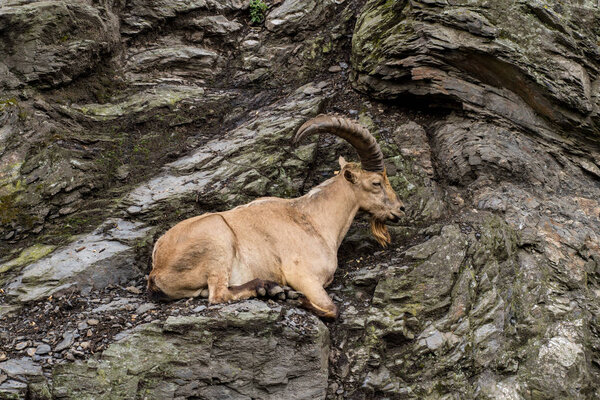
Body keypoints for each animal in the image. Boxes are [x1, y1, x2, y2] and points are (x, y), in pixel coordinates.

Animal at [148, 115, 406, 318]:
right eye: (377, 182)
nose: (400, 209)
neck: (314, 220)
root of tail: (157, 269)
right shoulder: (302, 276)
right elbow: (332, 309)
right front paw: (294, 298)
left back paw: (269, 288)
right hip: (217, 240)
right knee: (218, 295)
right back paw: (273, 290)